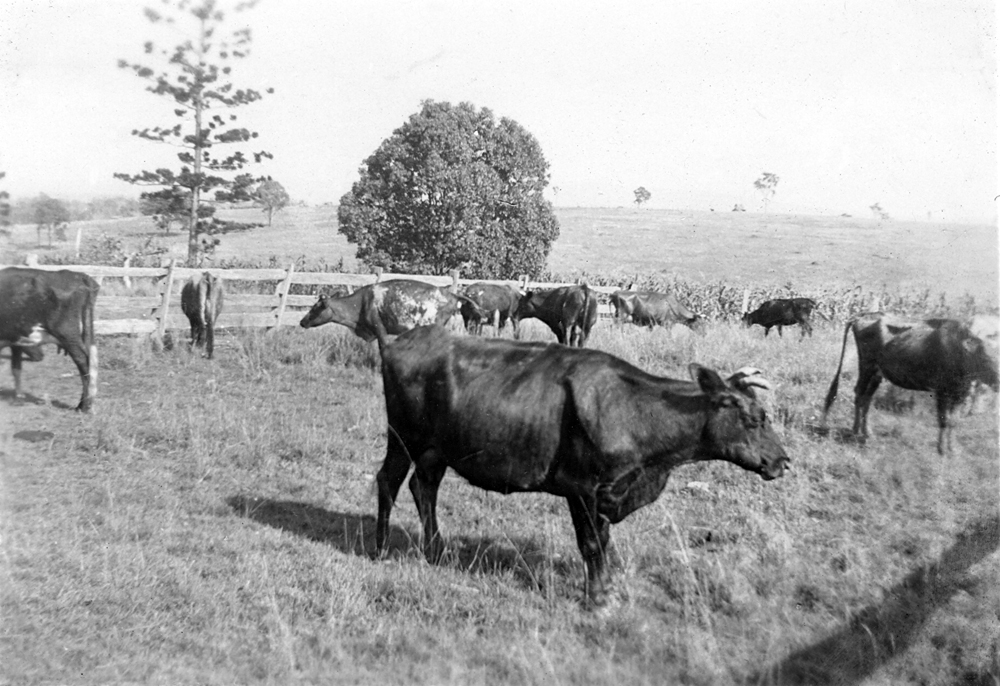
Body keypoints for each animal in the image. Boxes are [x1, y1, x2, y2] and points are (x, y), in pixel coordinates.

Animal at [0, 267, 100, 411]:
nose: (39, 356)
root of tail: (78, 275)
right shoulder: (15, 340)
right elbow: (16, 368)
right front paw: (19, 398)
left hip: (67, 334)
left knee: (83, 361)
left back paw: (85, 407)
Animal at [375, 325, 790, 606]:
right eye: (756, 418)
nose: (783, 461)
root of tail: (404, 338)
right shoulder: (581, 487)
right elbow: (591, 543)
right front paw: (597, 597)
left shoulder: (608, 492)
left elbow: (603, 542)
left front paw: (604, 587)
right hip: (403, 436)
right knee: (388, 482)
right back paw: (380, 548)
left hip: (436, 448)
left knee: (424, 487)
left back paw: (436, 550)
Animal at [822, 313, 999, 454]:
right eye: (986, 357)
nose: (998, 380)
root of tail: (861, 317)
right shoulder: (942, 391)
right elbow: (944, 420)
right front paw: (941, 450)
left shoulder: (961, 393)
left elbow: (953, 421)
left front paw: (952, 449)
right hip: (866, 368)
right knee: (859, 394)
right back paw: (855, 431)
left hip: (876, 375)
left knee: (867, 398)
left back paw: (867, 433)